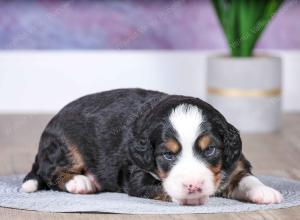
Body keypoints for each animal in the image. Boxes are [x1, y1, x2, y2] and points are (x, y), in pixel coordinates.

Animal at [22, 88, 282, 205]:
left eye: (210, 150)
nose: (194, 186)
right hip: (65, 145)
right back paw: (80, 182)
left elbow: (247, 178)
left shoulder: (233, 162)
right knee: (50, 172)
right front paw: (191, 197)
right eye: (167, 155)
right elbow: (164, 187)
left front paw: (265, 191)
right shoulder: (138, 176)